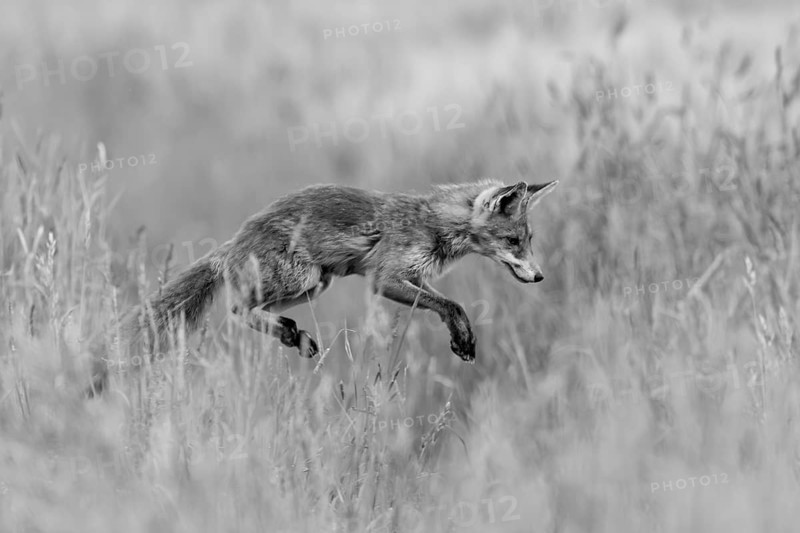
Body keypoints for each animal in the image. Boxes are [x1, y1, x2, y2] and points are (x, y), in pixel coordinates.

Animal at [87, 179, 558, 395]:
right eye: (513, 241)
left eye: (529, 240)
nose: (539, 277)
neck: (433, 225)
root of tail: (236, 237)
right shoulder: (386, 278)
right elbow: (453, 306)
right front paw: (463, 339)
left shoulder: (415, 277)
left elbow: (447, 303)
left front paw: (463, 337)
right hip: (303, 279)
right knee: (237, 310)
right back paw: (288, 332)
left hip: (316, 285)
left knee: (253, 311)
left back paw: (293, 335)